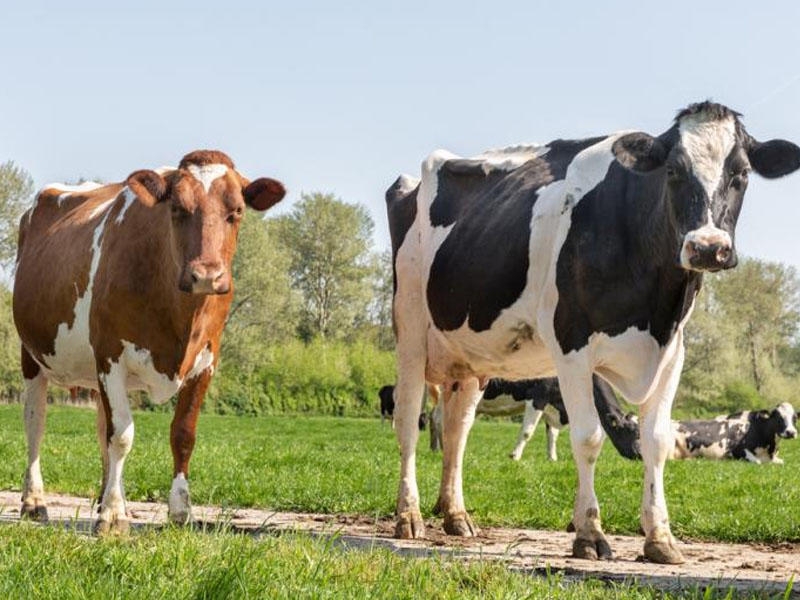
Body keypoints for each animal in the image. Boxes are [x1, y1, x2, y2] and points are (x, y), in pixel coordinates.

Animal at [13, 150, 284, 536]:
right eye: (177, 209)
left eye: (237, 211)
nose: (206, 275)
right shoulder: (111, 355)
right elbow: (123, 435)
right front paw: (114, 516)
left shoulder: (206, 363)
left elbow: (182, 435)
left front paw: (180, 511)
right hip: (32, 355)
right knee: (36, 421)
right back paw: (34, 502)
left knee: (101, 427)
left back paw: (102, 498)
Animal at [388, 101, 800, 564]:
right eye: (673, 170)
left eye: (742, 173)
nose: (708, 248)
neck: (654, 303)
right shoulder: (570, 341)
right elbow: (587, 438)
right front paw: (589, 533)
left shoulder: (671, 351)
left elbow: (657, 441)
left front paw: (660, 538)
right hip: (411, 328)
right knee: (409, 421)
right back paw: (409, 516)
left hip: (472, 356)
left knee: (457, 431)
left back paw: (456, 515)